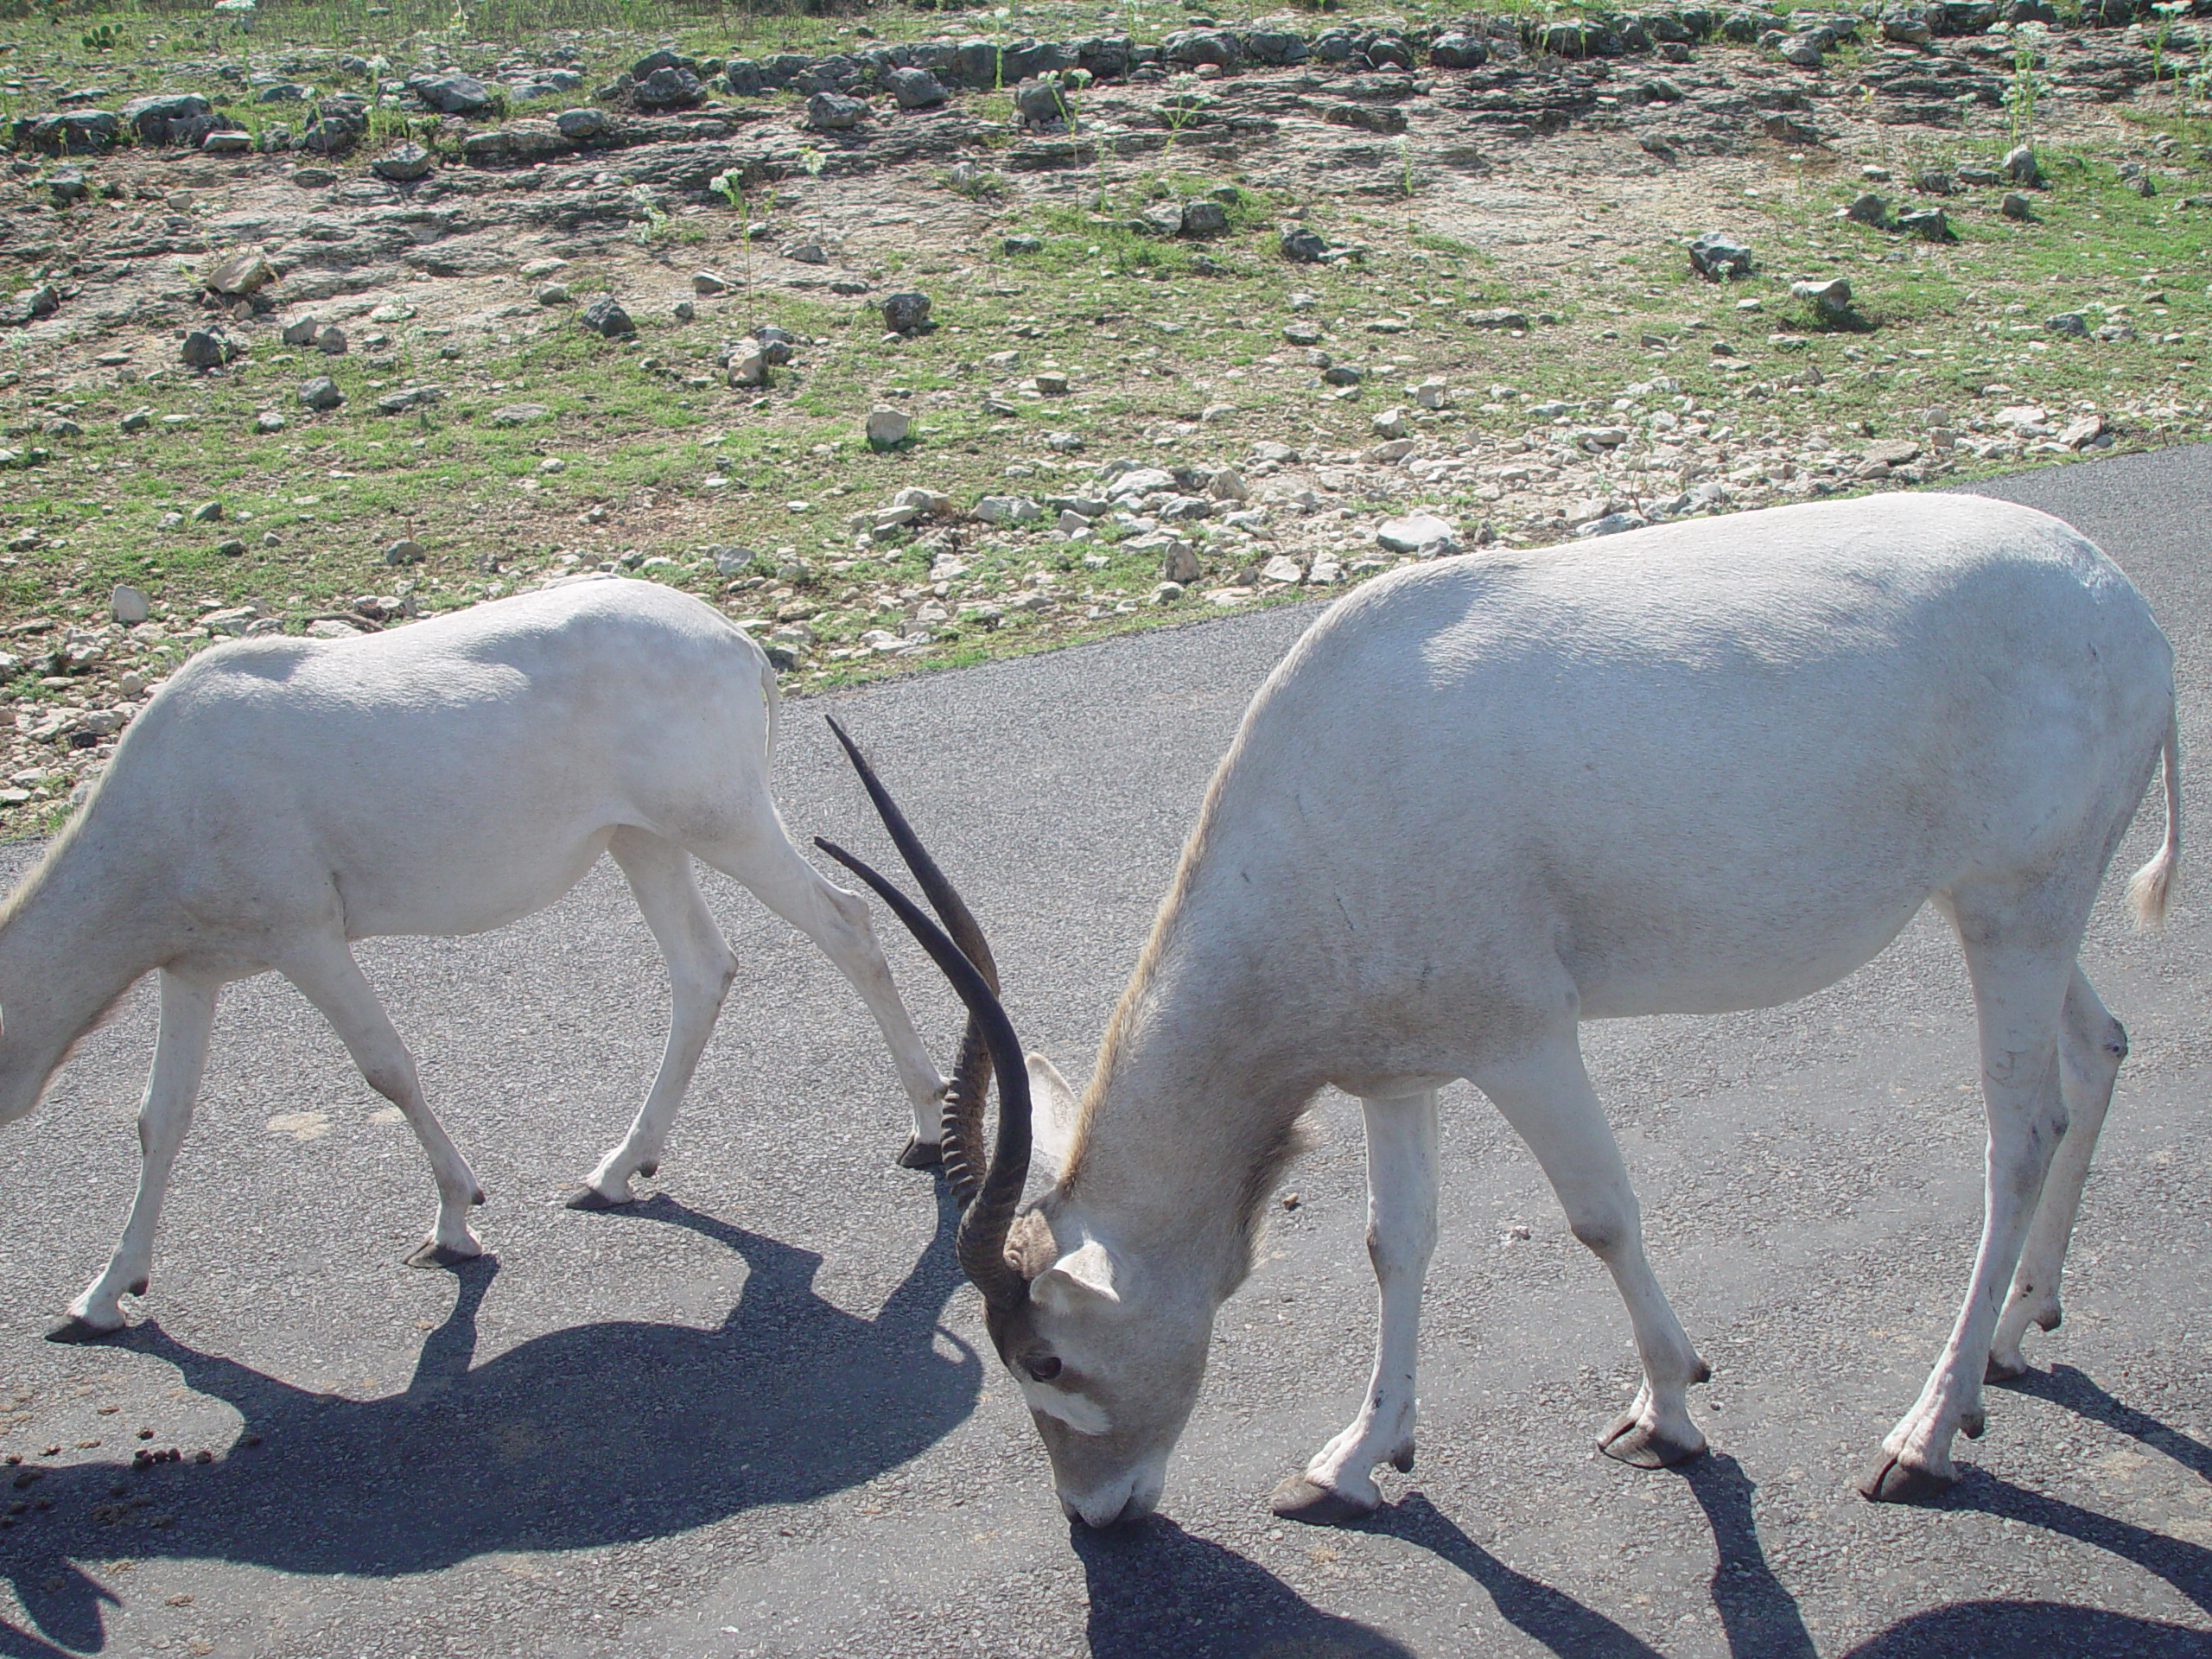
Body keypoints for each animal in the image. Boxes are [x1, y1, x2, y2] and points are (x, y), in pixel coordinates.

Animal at [0, 579, 950, 1344]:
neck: (160, 799)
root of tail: (735, 640)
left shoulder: (306, 937)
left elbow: (385, 1067)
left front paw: (455, 1224)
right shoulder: (190, 967)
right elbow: (160, 1117)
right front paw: (102, 1297)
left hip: (723, 821)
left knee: (847, 922)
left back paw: (926, 1130)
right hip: (641, 838)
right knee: (701, 968)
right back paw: (616, 1171)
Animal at [823, 493, 2185, 1530]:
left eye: (1047, 1359)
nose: (1096, 1517)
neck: (1322, 794)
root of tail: (2125, 605)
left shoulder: (1526, 1040)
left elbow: (1599, 1216)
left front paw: (1670, 1413)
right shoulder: (1398, 1071)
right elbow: (1396, 1244)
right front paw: (1354, 1461)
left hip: (2015, 907)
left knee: (2020, 1133)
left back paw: (1927, 1434)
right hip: (2006, 907)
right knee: (2101, 1052)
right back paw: (2018, 1331)